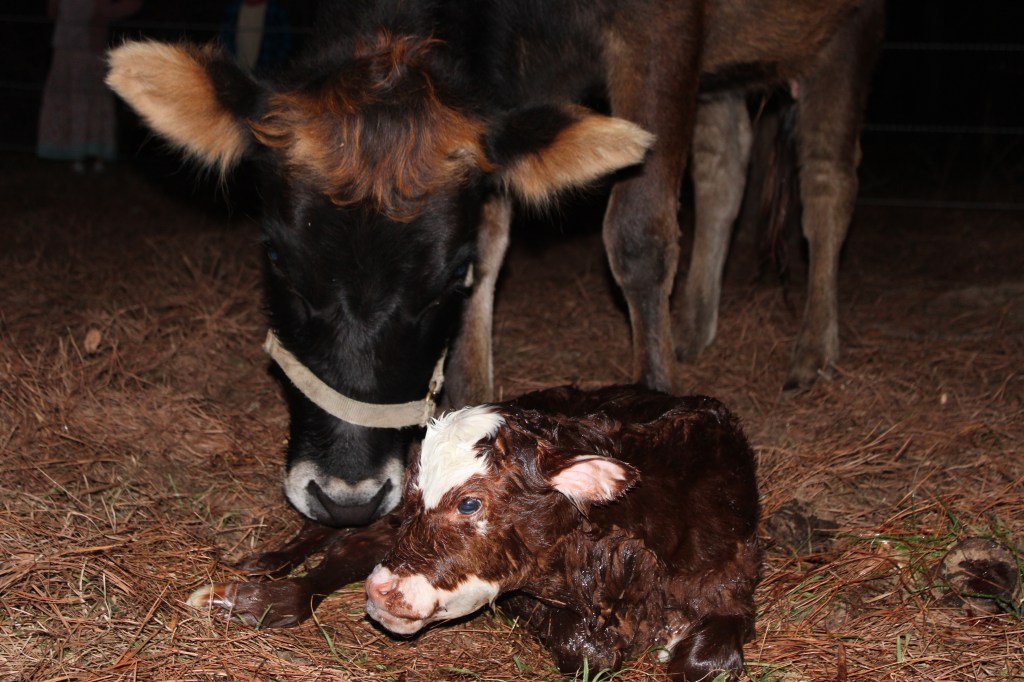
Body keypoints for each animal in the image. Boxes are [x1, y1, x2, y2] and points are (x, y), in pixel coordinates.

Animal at [107, 0, 881, 573]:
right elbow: (498, 226)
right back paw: (694, 324)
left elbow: (638, 232)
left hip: (841, 32)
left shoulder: (664, 28)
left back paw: (813, 349)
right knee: (726, 166)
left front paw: (658, 401)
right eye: (273, 255)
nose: (347, 498)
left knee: (826, 184)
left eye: (447, 275)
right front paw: (469, 407)